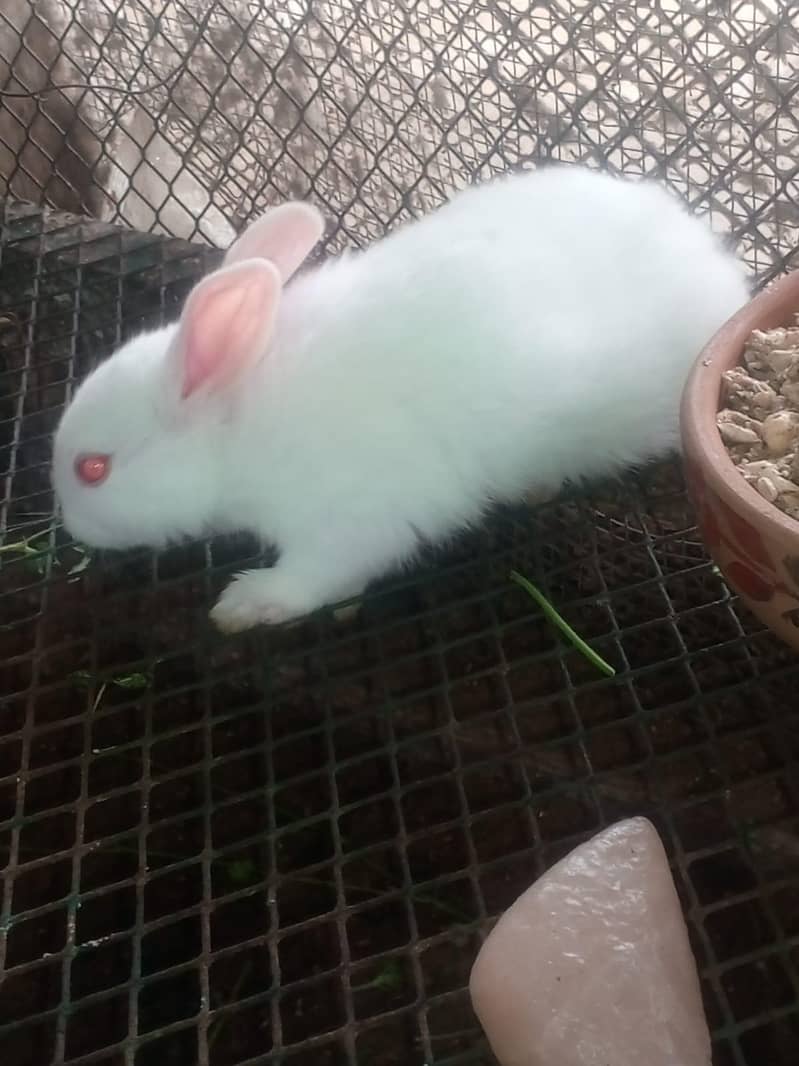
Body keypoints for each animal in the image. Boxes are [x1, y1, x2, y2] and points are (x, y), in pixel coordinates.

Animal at [51, 164, 750, 632]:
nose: (69, 525)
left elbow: (318, 576)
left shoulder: (348, 519)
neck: (240, 420)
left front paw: (245, 604)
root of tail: (713, 260)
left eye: (93, 468)